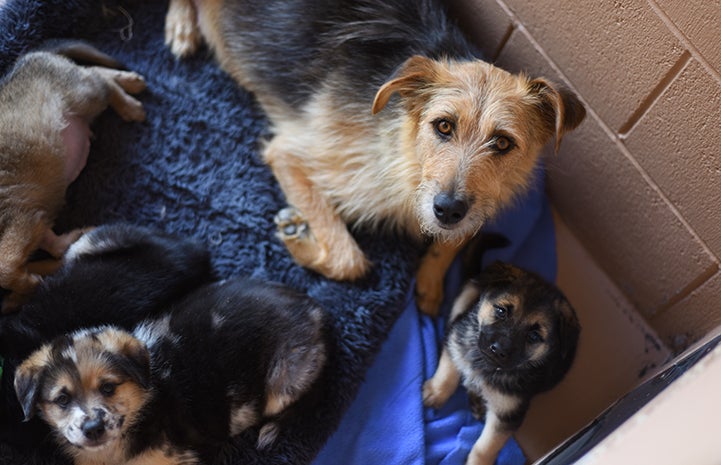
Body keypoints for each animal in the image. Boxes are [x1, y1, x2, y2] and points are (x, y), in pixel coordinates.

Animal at [0, 40, 146, 312]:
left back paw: (129, 104)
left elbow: (5, 267)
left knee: (98, 78)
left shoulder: (17, 219)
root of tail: (32, 55)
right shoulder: (32, 219)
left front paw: (27, 286)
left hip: (83, 96)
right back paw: (130, 81)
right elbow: (55, 247)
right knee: (92, 72)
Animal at [163, 0, 584, 316]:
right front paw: (298, 239)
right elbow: (349, 258)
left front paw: (431, 280)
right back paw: (182, 26)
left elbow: (460, 235)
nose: (448, 209)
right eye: (443, 126)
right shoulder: (291, 153)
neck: (405, 151)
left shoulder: (476, 203)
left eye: (502, 143)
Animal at [422, 260, 580, 464]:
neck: (485, 366)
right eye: (501, 311)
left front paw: (478, 462)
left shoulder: (507, 413)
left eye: (534, 336)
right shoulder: (456, 338)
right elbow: (448, 369)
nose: (498, 350)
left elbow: (487, 445)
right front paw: (436, 392)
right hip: (468, 293)